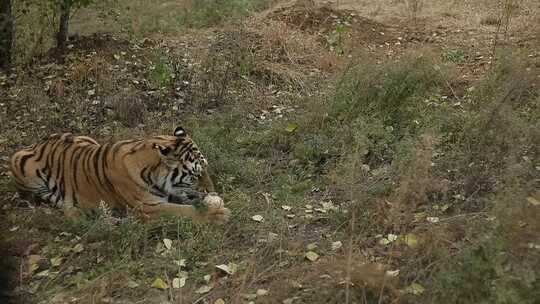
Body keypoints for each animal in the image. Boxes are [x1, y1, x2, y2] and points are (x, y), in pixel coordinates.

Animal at [9, 126, 230, 223]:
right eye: (195, 175)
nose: (212, 190)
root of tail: (38, 142)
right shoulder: (148, 207)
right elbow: (185, 211)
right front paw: (218, 214)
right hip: (21, 164)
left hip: (85, 139)